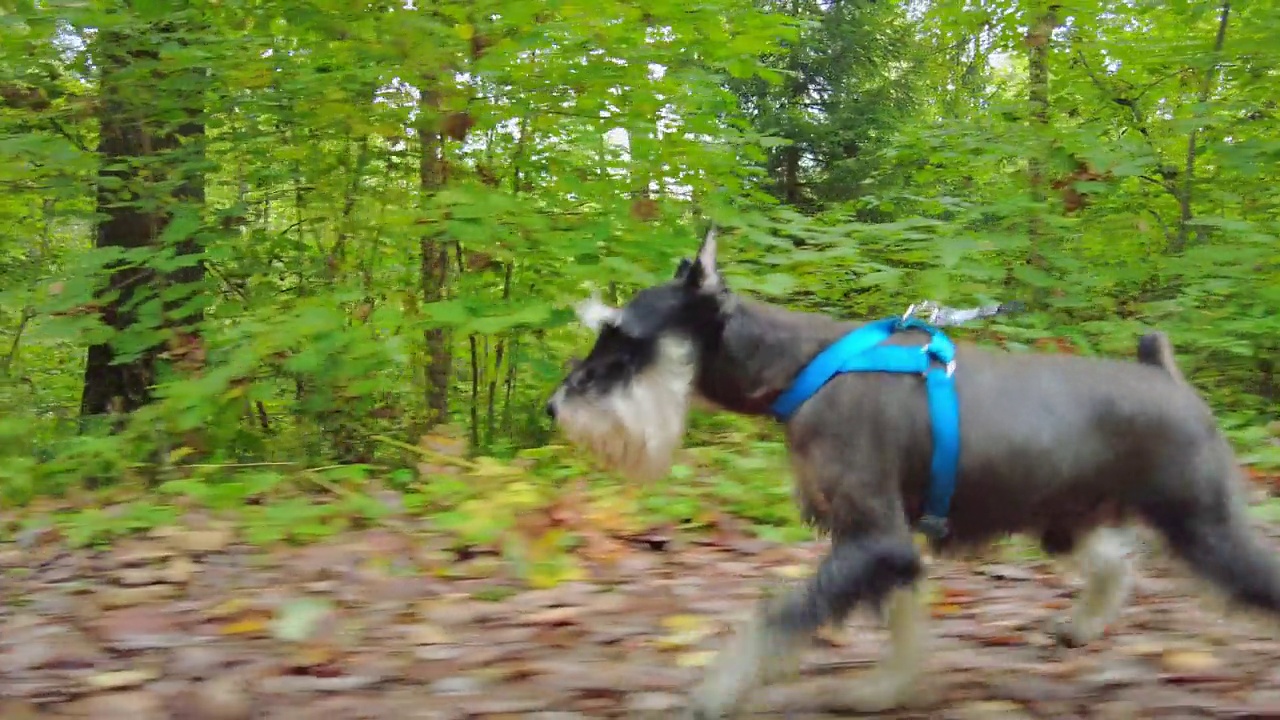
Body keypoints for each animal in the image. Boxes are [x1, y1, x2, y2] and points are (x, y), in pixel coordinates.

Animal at [542, 225, 1280, 717]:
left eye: (625, 339)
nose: (555, 406)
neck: (799, 370)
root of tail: (1166, 375)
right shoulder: (873, 542)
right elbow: (900, 625)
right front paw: (883, 690)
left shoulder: (873, 540)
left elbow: (776, 618)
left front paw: (716, 691)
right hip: (1064, 516)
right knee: (1112, 562)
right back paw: (1080, 626)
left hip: (1204, 527)